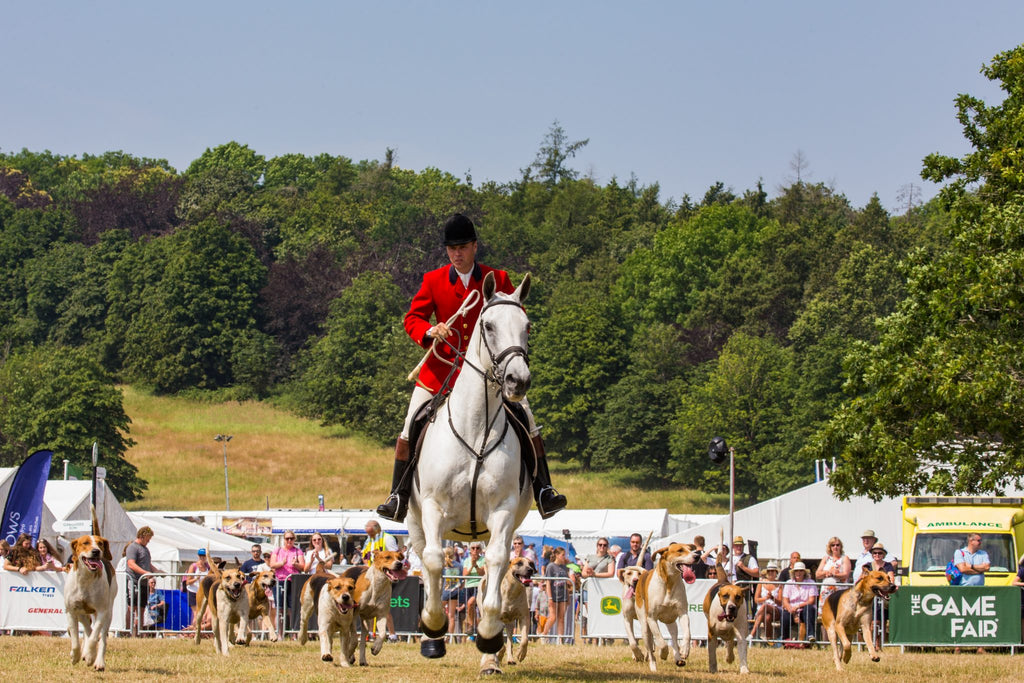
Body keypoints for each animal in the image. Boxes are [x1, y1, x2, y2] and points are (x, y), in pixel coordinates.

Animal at [407, 270, 536, 671]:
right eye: (489, 325)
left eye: (527, 325)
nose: (518, 381)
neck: (476, 428)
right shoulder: (433, 508)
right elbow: (434, 561)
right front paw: (433, 626)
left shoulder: (503, 511)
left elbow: (496, 563)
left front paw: (489, 636)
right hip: (416, 521)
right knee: (426, 561)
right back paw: (432, 638)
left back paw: (490, 656)